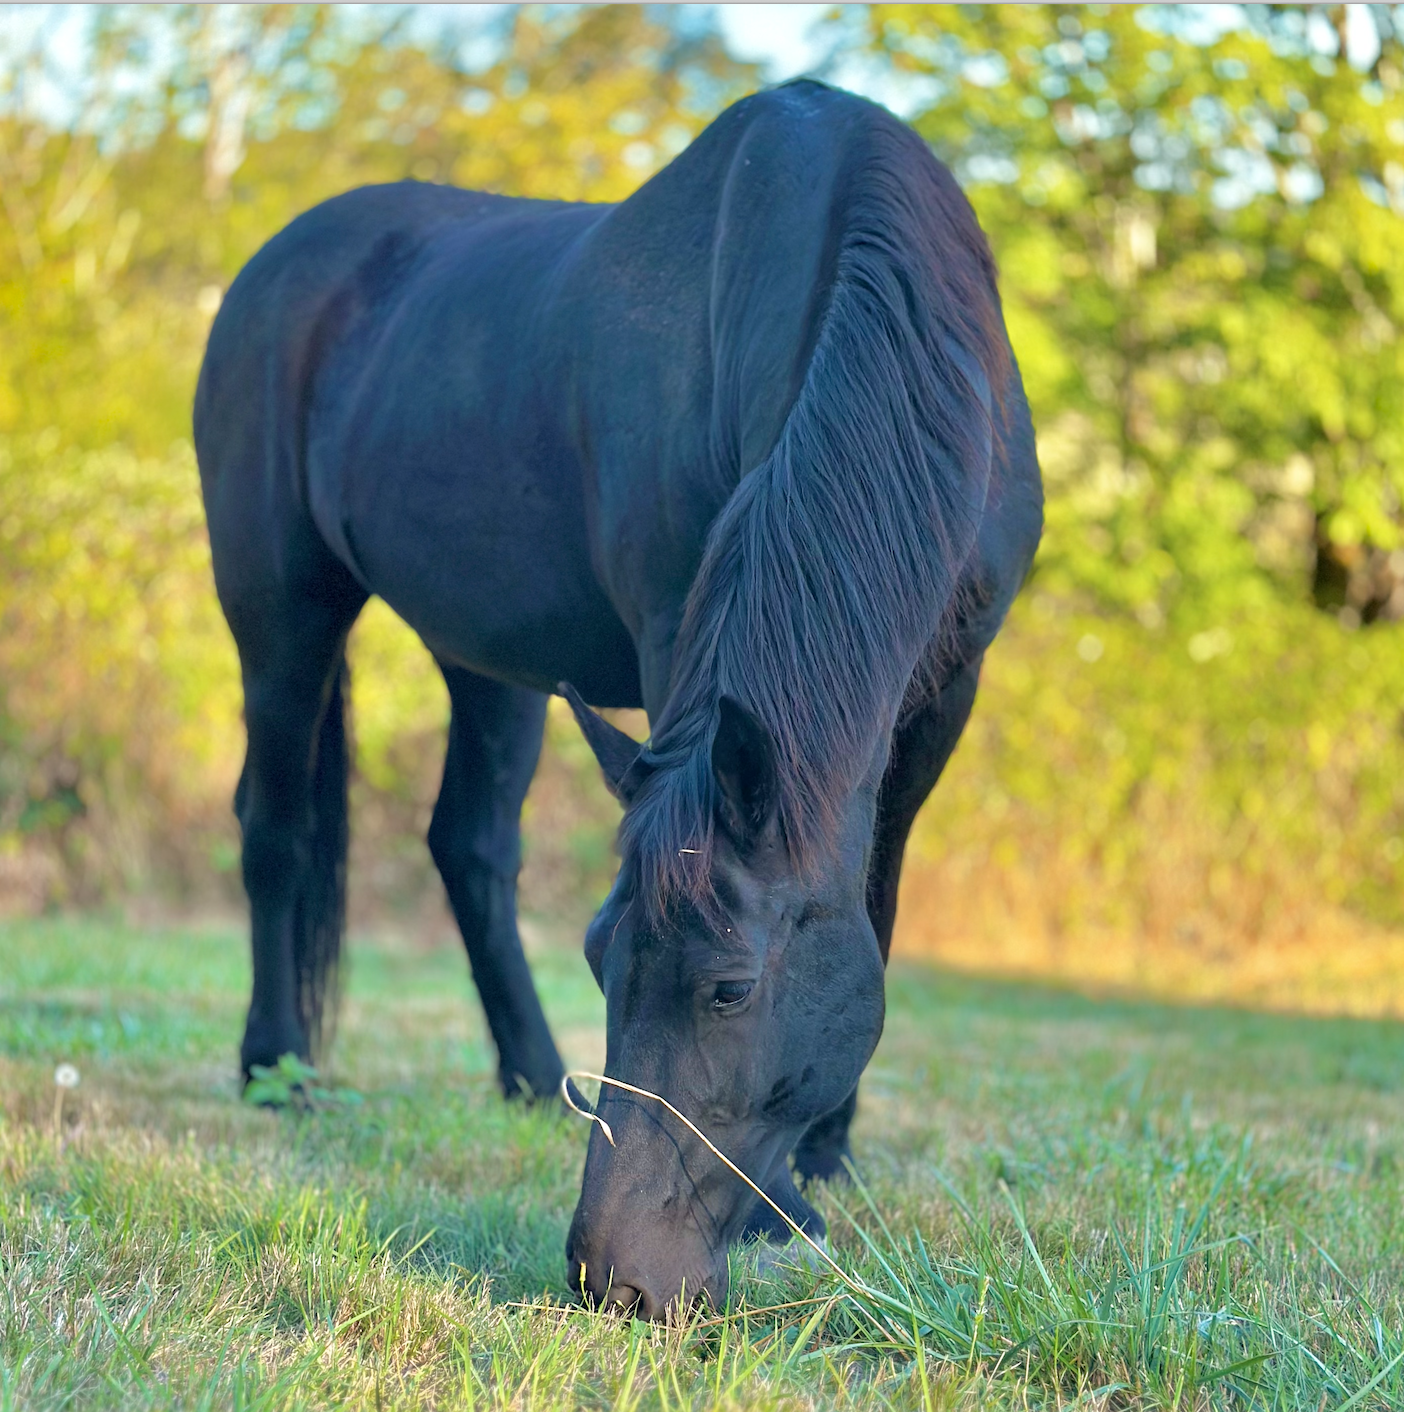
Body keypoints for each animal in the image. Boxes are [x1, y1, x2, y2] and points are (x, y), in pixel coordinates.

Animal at [195, 78, 1042, 1319]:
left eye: (730, 988)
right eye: (602, 957)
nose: (615, 1277)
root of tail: (269, 266)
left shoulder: (945, 698)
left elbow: (877, 897)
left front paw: (825, 1157)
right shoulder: (673, 631)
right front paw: (795, 1196)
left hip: (488, 655)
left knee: (468, 845)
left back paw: (530, 1077)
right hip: (279, 606)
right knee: (278, 829)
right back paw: (279, 1071)